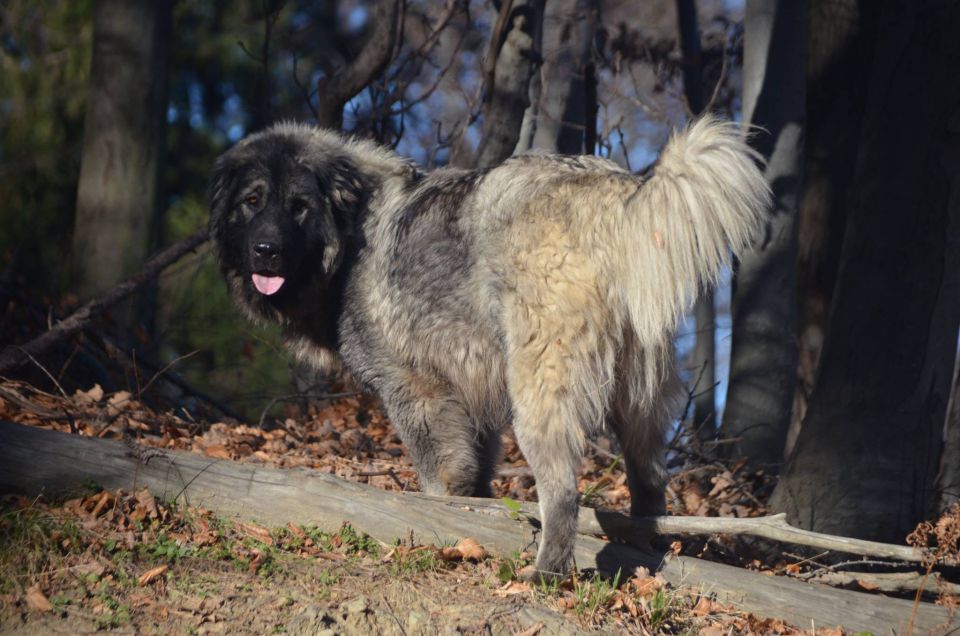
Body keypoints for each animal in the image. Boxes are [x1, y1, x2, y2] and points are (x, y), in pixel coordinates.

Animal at [210, 117, 772, 580]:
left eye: (299, 207)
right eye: (252, 202)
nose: (266, 251)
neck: (349, 236)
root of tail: (613, 190)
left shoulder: (418, 394)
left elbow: (441, 478)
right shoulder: (470, 404)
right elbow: (475, 478)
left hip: (540, 386)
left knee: (562, 490)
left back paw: (546, 573)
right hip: (638, 401)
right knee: (650, 482)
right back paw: (643, 551)